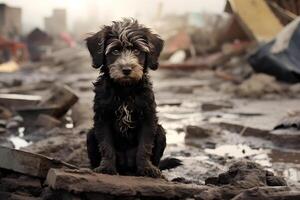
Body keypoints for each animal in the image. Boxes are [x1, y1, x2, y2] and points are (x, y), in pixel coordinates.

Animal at [86, 18, 180, 177]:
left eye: (137, 50)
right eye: (115, 51)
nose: (127, 69)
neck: (125, 89)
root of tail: (126, 168)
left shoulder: (148, 117)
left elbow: (145, 146)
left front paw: (146, 168)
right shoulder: (102, 117)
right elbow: (106, 145)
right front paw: (106, 168)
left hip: (160, 132)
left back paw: (153, 169)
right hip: (90, 134)